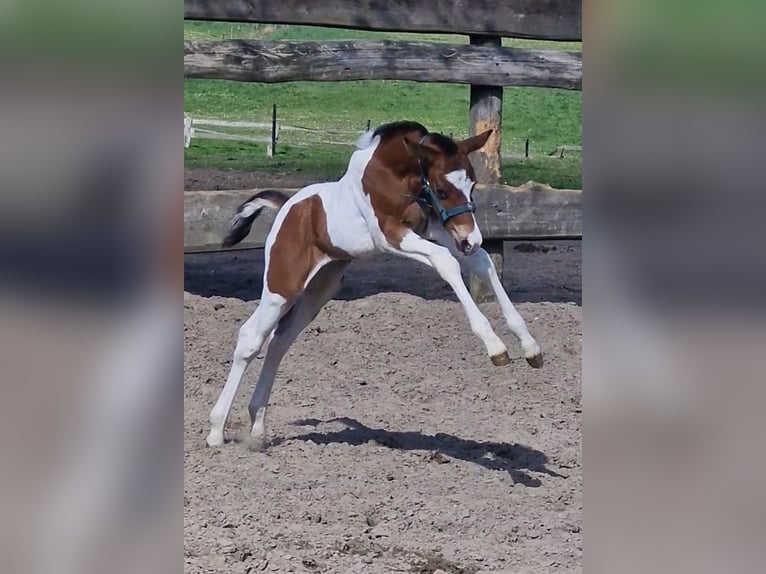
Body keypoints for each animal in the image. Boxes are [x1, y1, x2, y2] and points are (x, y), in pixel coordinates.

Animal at [206, 121, 543, 450]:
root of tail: (288, 205)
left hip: (320, 289)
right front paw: (495, 346)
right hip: (282, 286)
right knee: (251, 338)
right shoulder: (392, 237)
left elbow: (483, 263)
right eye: (443, 190)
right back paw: (216, 431)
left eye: (471, 185)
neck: (394, 176)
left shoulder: (433, 229)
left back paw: (258, 429)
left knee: (279, 341)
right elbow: (445, 261)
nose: (471, 240)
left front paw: (530, 347)